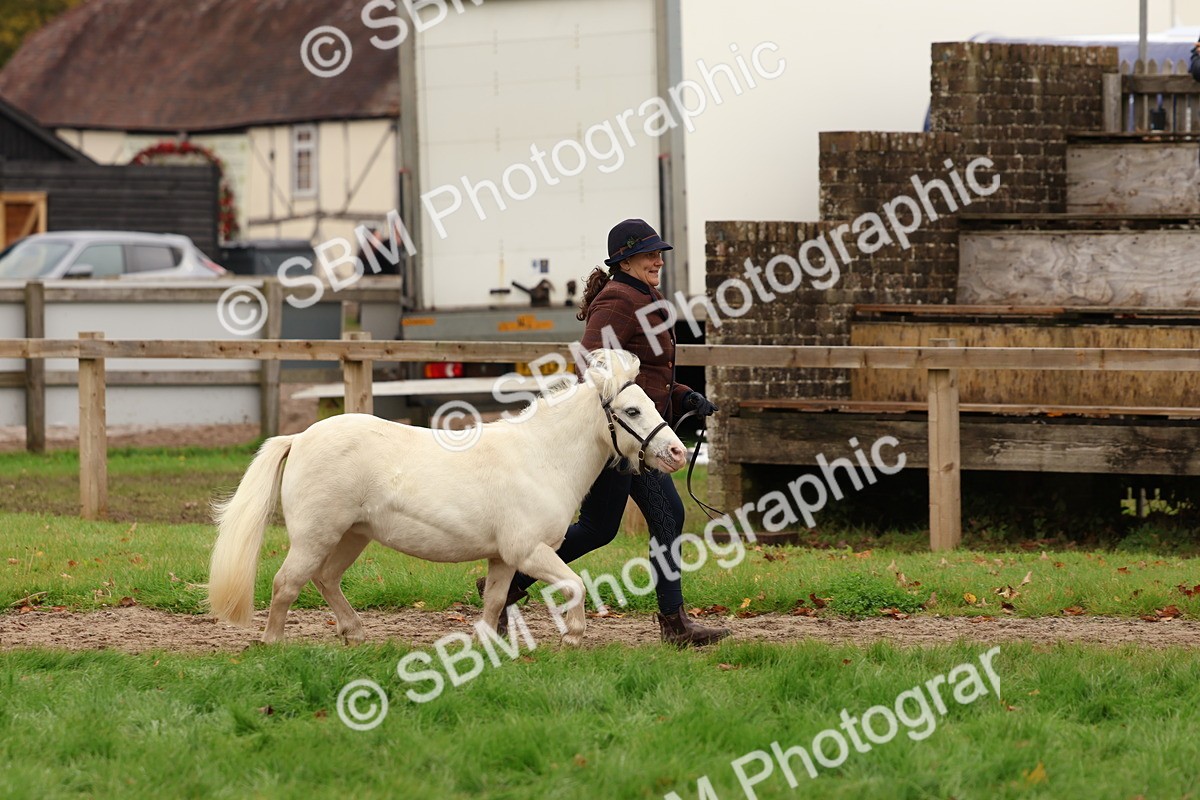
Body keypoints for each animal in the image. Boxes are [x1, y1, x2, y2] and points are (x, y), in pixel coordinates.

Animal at [206, 349, 687, 647]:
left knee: (325, 579)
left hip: (352, 536)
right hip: (315, 537)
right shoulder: (528, 550)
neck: (540, 458)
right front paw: (573, 635)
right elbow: (575, 584)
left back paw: (355, 634)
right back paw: (272, 643)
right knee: (287, 583)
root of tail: (300, 437)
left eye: (651, 403)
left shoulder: (503, 558)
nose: (677, 453)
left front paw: (484, 644)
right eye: (631, 411)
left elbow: (494, 600)